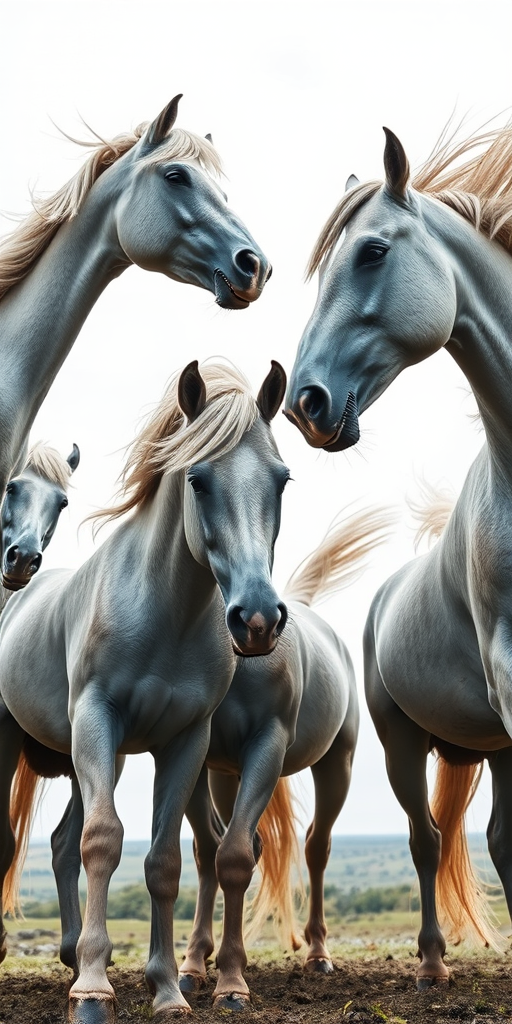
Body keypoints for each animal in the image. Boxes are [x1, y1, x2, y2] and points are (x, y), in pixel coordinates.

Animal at [0, 359, 288, 1022]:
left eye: (282, 480)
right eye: (198, 479)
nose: (257, 619)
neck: (165, 613)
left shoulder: (182, 742)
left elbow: (164, 860)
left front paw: (166, 988)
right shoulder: (97, 722)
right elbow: (103, 842)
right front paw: (92, 991)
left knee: (61, 843)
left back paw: (74, 952)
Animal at [179, 507, 391, 1009]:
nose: (256, 622)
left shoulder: (268, 745)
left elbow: (235, 854)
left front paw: (231, 984)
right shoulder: (199, 759)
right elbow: (210, 851)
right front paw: (194, 964)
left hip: (336, 764)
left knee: (316, 846)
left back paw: (317, 955)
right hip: (226, 776)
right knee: (233, 844)